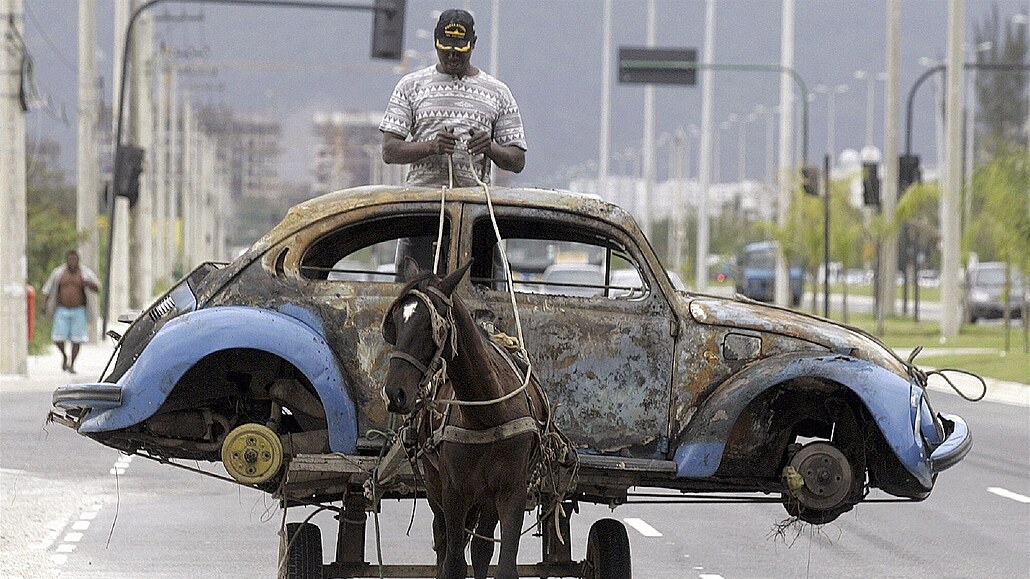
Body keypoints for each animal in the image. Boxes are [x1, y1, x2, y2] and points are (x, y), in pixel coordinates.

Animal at [383, 257, 547, 576]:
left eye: (429, 325)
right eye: (395, 322)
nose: (394, 393)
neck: (487, 416)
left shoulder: (512, 491)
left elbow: (504, 564)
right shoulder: (454, 493)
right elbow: (454, 563)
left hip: (487, 500)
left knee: (482, 548)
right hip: (437, 486)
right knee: (443, 541)